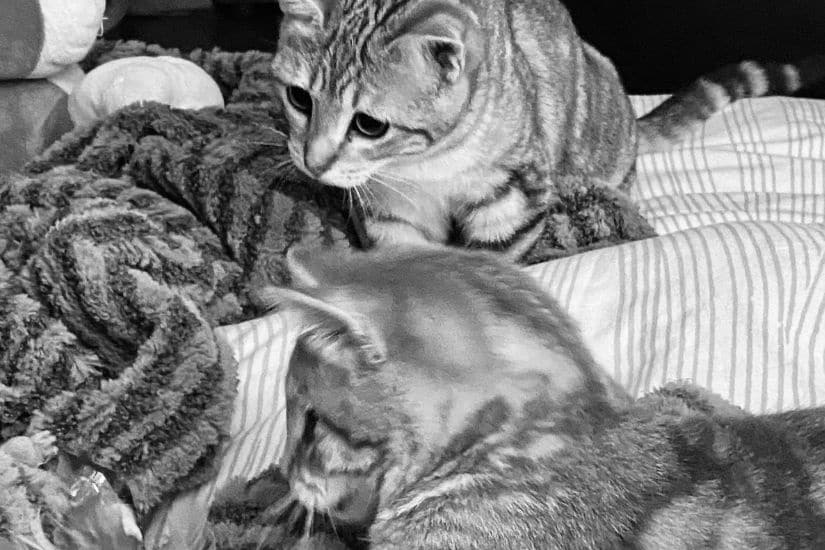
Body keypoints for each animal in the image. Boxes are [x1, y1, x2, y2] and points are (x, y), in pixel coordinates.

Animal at [272, 0, 824, 262]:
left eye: (369, 124)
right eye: (299, 98)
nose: (312, 161)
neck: (427, 167)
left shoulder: (512, 198)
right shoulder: (391, 208)